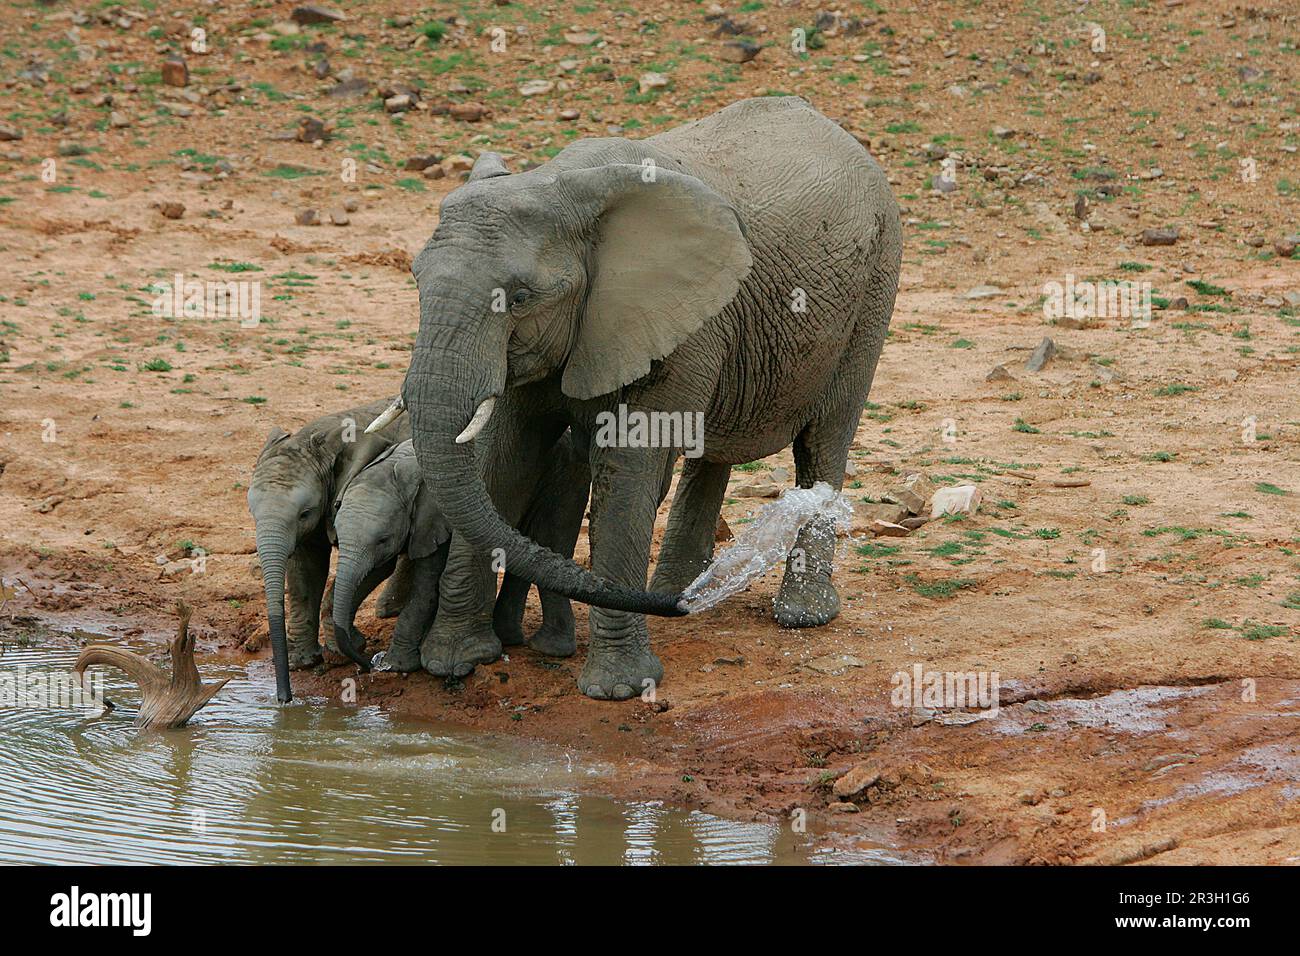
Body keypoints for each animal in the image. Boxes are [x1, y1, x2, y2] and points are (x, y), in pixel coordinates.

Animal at [330, 434, 590, 671]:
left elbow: (424, 591)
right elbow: (374, 572)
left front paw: (397, 665)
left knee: (549, 535)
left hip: (561, 477)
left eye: (382, 539)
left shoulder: (436, 521)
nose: (368, 664)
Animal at [400, 97, 899, 702]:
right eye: (416, 279)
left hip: (875, 286)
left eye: (518, 298)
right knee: (711, 452)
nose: (680, 607)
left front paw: (618, 689)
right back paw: (677, 592)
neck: (559, 184)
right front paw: (454, 661)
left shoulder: (671, 322)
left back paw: (800, 615)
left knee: (824, 440)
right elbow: (504, 461)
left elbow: (626, 473)